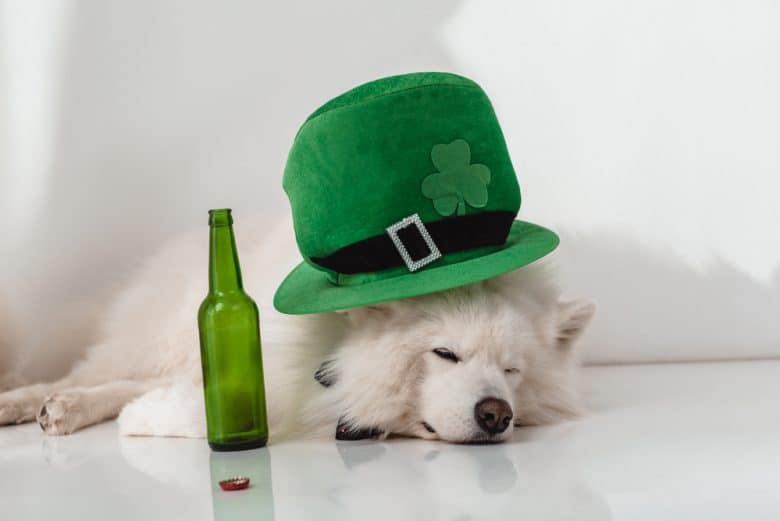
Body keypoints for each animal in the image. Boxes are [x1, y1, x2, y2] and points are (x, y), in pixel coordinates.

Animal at [0, 215, 596, 442]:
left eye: (512, 371)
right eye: (445, 354)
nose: (496, 415)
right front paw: (149, 419)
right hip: (158, 338)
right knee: (94, 373)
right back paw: (31, 400)